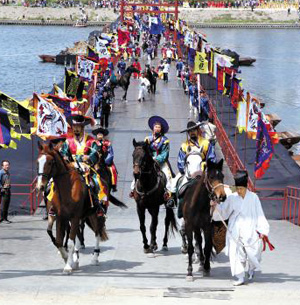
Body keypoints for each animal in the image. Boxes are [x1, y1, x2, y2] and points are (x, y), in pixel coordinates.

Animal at [36, 141, 126, 272]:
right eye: (38, 162)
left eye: (50, 162)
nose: (40, 186)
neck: (67, 189)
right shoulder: (60, 217)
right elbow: (59, 240)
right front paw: (66, 258)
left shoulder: (74, 217)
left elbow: (71, 240)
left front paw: (68, 265)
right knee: (79, 234)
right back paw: (76, 258)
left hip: (97, 214)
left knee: (97, 232)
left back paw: (94, 258)